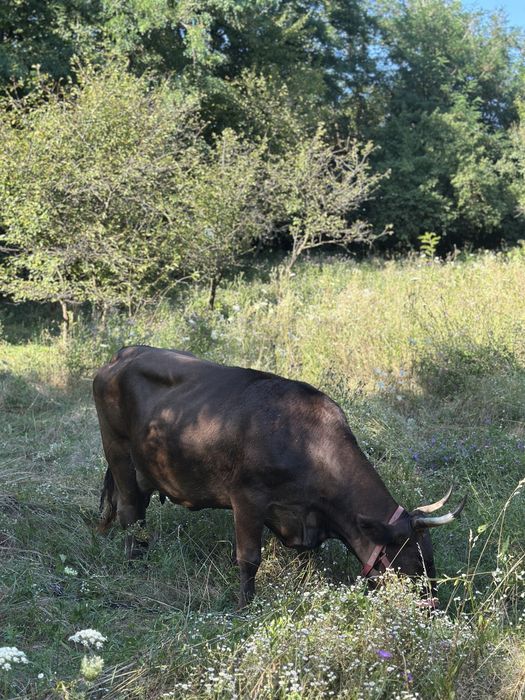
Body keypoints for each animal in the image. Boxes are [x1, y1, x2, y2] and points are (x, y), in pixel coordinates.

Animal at [93, 345, 466, 607]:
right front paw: (244, 607)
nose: (432, 608)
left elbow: (307, 562)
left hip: (145, 468)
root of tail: (123, 353)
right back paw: (133, 564)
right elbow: (248, 559)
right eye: (416, 561)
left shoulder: (305, 520)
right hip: (118, 453)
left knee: (139, 514)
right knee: (129, 513)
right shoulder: (247, 498)